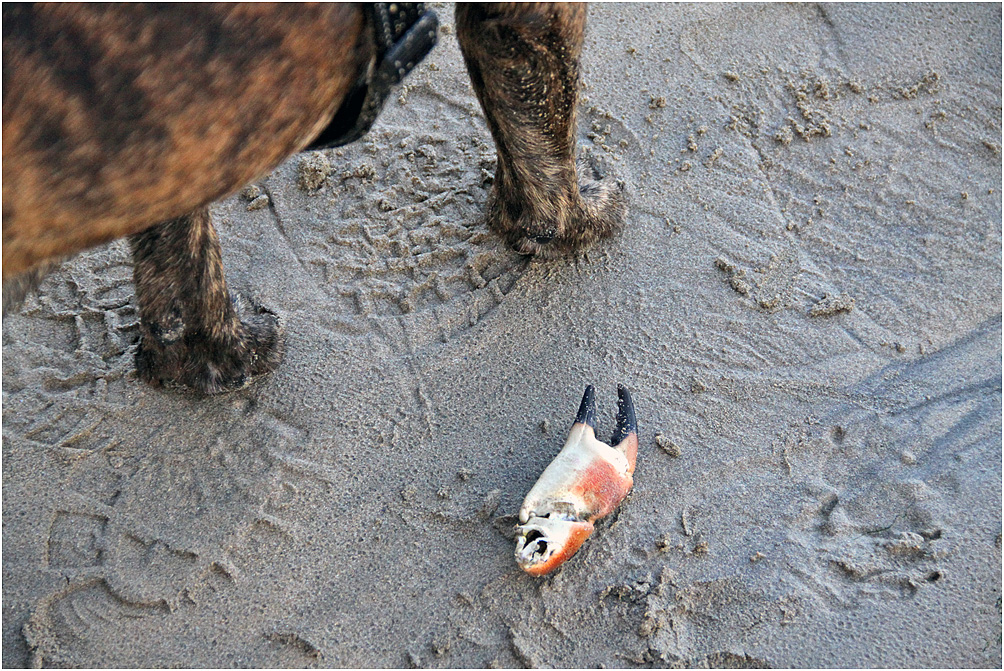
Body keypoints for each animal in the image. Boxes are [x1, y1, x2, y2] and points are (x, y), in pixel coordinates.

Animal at [3, 2, 622, 393]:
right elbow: (543, 150)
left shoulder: (175, 155)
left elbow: (181, 274)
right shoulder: (522, 18)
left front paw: (215, 358)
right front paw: (583, 217)